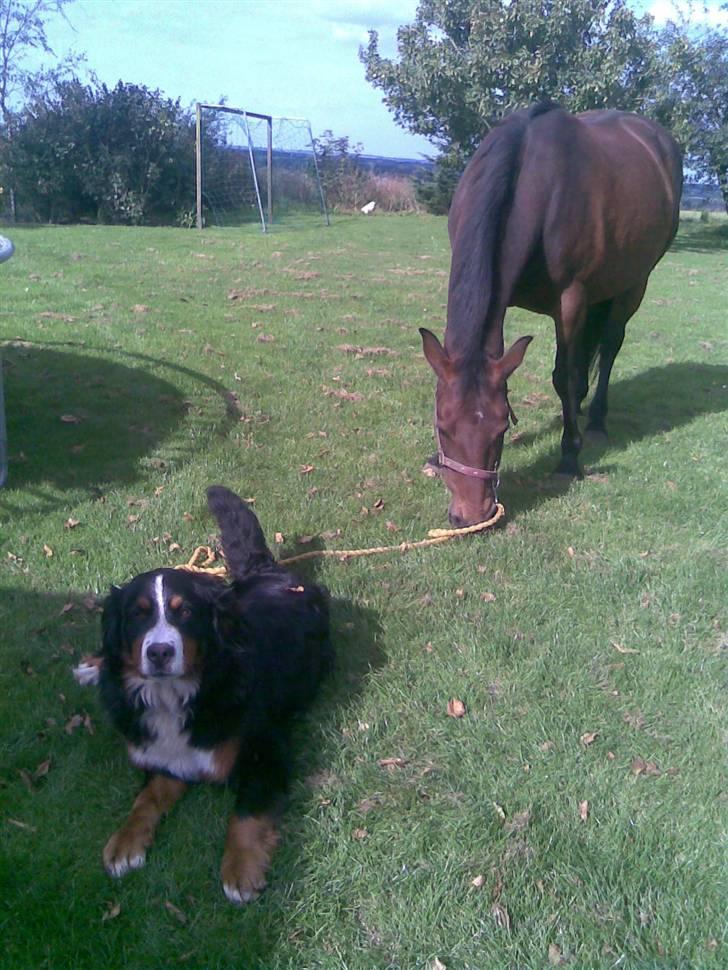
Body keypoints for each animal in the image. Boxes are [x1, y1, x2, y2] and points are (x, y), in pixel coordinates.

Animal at [74, 488, 332, 904]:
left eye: (186, 612)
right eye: (137, 614)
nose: (159, 652)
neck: (174, 697)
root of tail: (267, 570)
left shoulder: (267, 750)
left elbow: (246, 814)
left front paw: (241, 869)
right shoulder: (165, 757)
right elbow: (145, 799)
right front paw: (125, 843)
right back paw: (91, 666)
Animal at [420, 103, 684, 524]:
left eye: (500, 429)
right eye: (442, 427)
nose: (473, 514)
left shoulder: (571, 301)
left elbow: (565, 376)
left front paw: (569, 458)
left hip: (633, 284)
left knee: (608, 348)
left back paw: (594, 422)